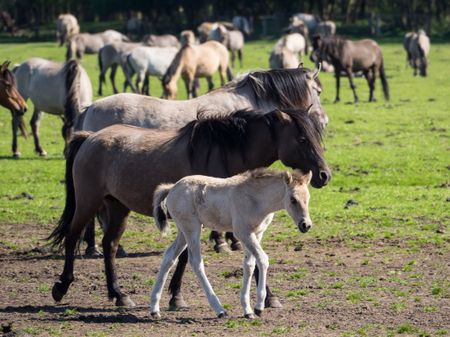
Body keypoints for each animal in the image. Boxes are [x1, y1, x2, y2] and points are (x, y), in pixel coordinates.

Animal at [151, 168, 312, 318]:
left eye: (308, 198)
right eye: (292, 199)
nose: (306, 225)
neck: (255, 199)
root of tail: (172, 188)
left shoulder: (257, 233)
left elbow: (249, 265)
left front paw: (247, 310)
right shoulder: (243, 233)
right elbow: (263, 259)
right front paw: (259, 307)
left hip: (183, 232)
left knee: (169, 256)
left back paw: (154, 309)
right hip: (192, 228)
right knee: (196, 261)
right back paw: (220, 309)